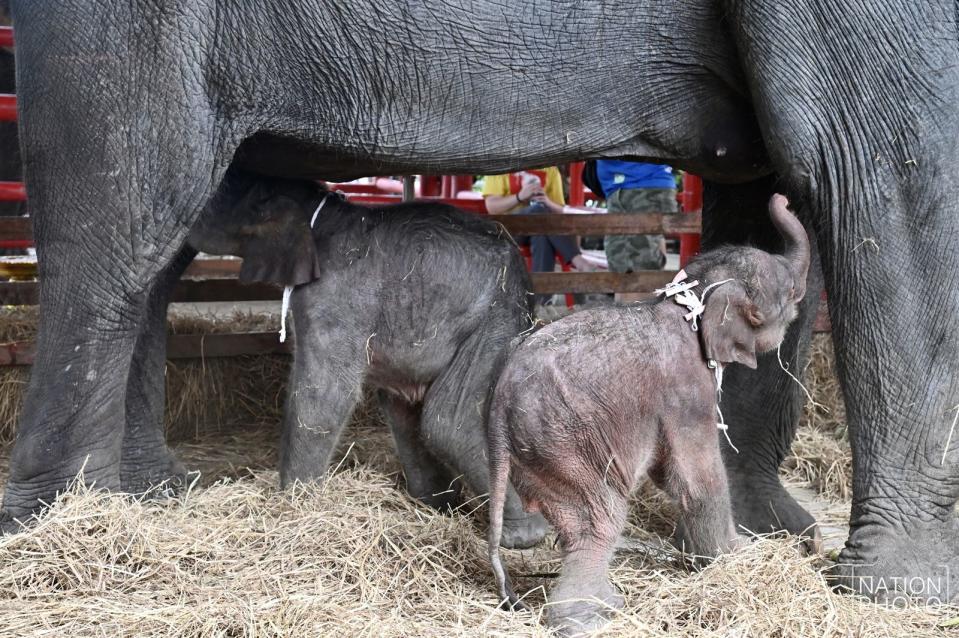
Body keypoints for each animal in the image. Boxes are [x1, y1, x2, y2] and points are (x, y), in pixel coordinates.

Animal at [189, 171, 548, 552]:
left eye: (219, 191)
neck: (319, 209)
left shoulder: (335, 298)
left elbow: (325, 396)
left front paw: (294, 506)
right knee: (404, 413)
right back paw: (436, 508)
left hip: (493, 317)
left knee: (448, 423)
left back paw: (524, 536)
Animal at [488, 195, 808, 636]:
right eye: (789, 290)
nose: (784, 198)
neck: (686, 302)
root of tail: (499, 412)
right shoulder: (687, 390)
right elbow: (697, 478)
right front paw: (738, 556)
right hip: (564, 445)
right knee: (599, 522)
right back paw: (592, 619)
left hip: (539, 456)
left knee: (576, 528)